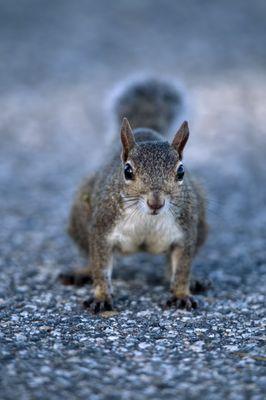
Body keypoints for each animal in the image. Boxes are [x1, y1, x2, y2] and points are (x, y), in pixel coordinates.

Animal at [59, 77, 209, 312]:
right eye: (127, 171)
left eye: (181, 172)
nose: (155, 202)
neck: (147, 218)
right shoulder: (102, 227)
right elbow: (100, 265)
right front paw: (101, 296)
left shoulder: (186, 232)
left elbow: (182, 268)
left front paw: (181, 293)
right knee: (89, 256)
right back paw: (82, 271)